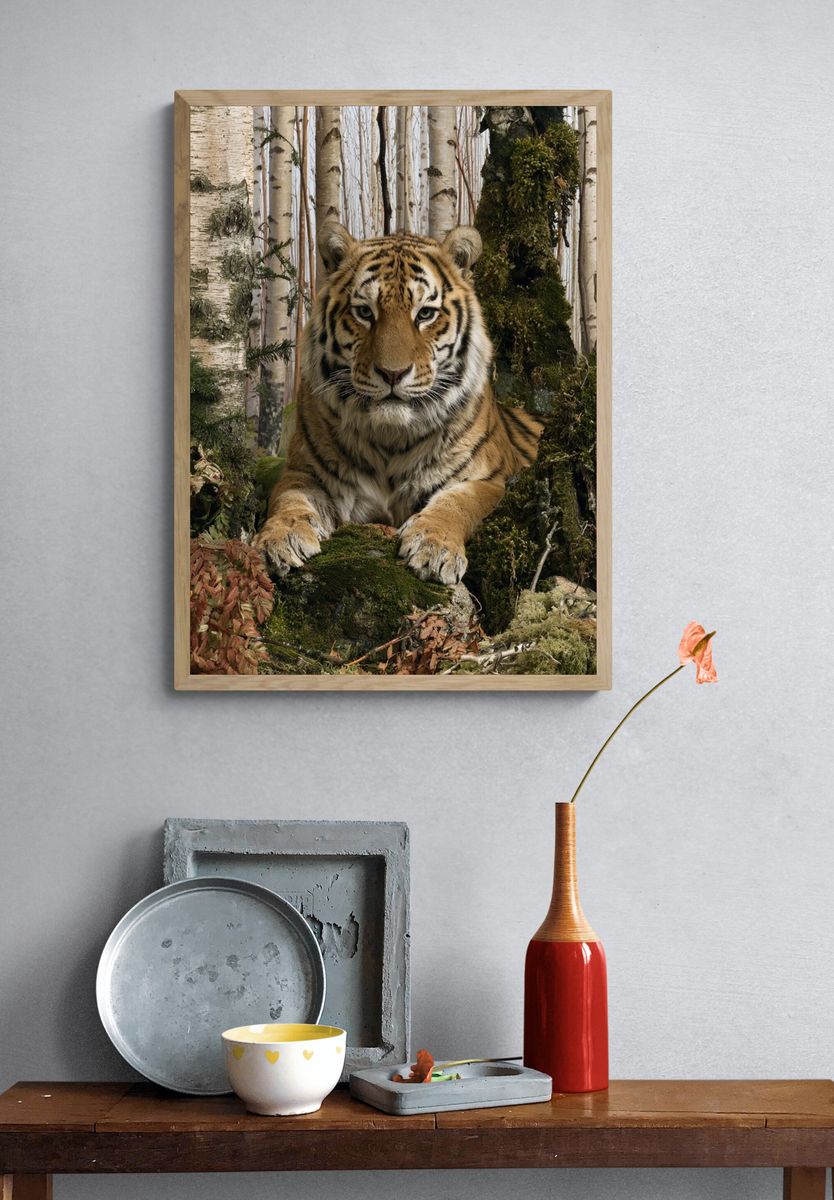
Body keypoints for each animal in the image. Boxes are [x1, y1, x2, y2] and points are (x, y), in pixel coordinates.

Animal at [252, 221, 543, 586]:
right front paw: (277, 540)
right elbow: (288, 499)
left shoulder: (489, 479)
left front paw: (434, 548)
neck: (390, 437)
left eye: (426, 314)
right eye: (365, 312)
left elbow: (457, 502)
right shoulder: (305, 472)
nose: (393, 373)